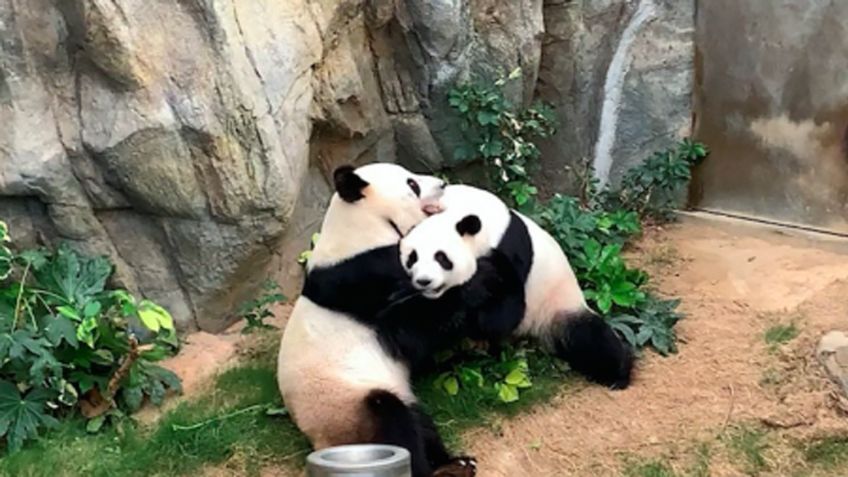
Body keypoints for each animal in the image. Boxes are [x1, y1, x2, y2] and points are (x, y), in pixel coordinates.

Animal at [277, 163, 479, 477]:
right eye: (412, 184)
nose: (443, 184)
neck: (363, 226)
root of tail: (319, 442)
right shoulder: (363, 279)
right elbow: (409, 332)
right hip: (347, 407)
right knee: (393, 421)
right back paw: (430, 470)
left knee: (420, 422)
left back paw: (454, 464)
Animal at [398, 184, 634, 389]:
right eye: (412, 258)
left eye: (441, 258)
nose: (424, 281)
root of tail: (533, 334)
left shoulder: (510, 250)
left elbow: (504, 314)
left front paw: (474, 293)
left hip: (556, 306)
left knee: (589, 338)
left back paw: (618, 374)